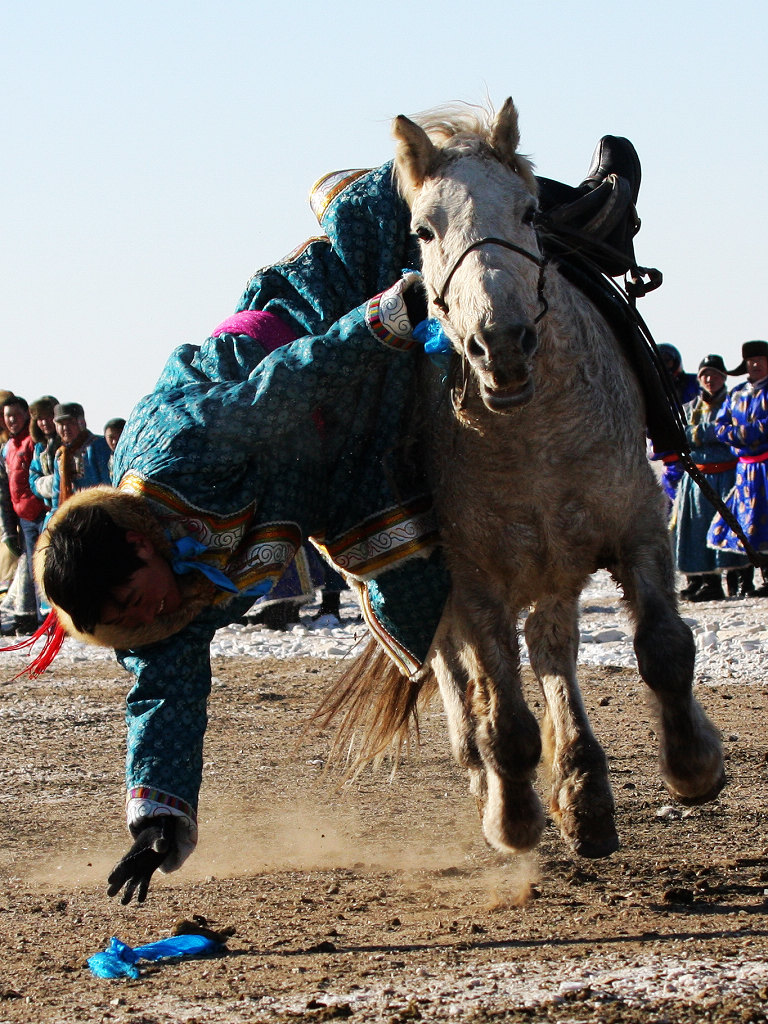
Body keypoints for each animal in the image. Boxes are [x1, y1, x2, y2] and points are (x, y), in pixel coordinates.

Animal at [321, 99, 724, 860]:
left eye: (529, 211)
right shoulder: (472, 578)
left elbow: (663, 649)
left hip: (555, 561)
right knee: (464, 680)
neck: (533, 435)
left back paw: (586, 792)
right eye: (424, 229)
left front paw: (695, 766)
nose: (501, 344)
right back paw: (502, 781)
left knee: (551, 647)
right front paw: (512, 816)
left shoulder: (637, 523)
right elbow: (503, 715)